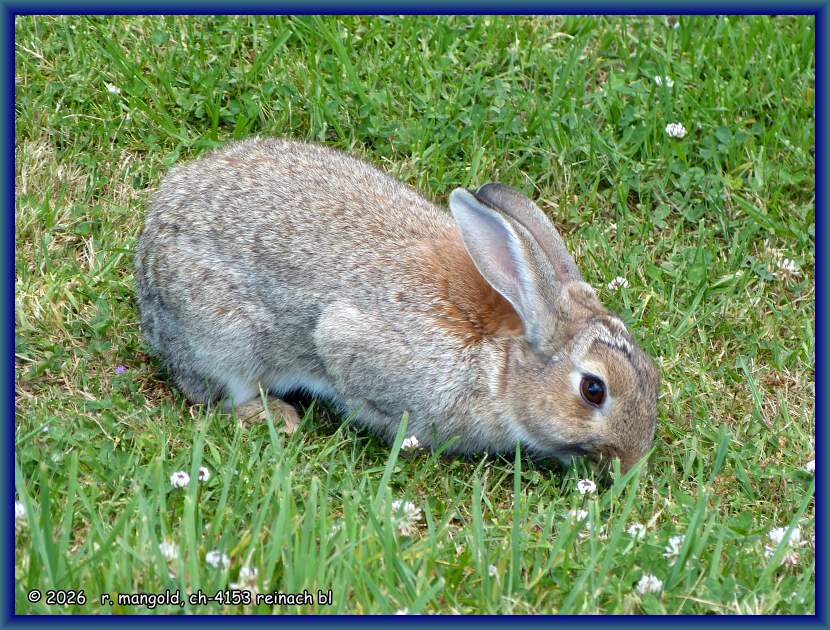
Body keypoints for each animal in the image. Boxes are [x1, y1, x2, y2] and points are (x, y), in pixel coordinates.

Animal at [134, 137, 659, 472]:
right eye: (593, 389)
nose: (632, 461)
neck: (502, 365)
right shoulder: (355, 345)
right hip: (225, 338)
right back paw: (275, 416)